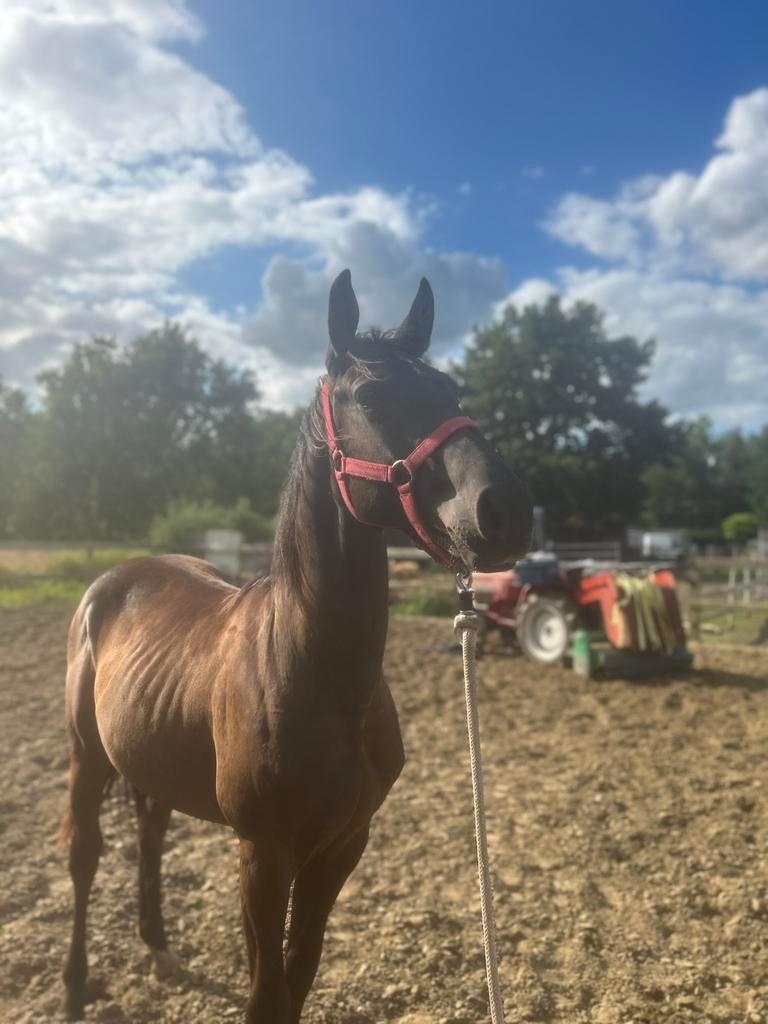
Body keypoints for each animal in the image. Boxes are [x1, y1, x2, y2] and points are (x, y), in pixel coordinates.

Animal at [60, 269, 533, 1022]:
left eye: (453, 391)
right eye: (371, 396)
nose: (505, 509)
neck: (313, 672)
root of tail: (116, 578)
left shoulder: (340, 848)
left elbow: (298, 976)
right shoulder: (264, 852)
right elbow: (267, 995)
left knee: (150, 837)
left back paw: (160, 949)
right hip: (85, 756)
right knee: (84, 859)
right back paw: (76, 987)